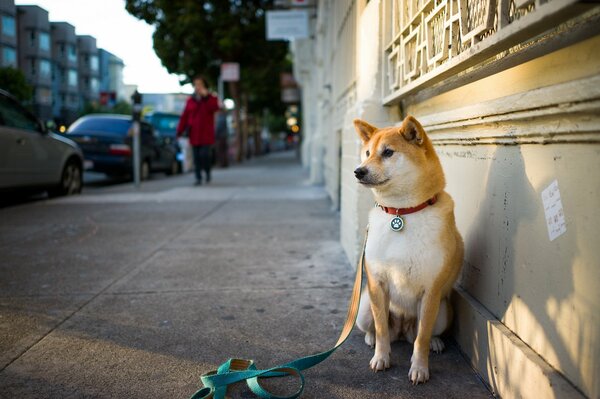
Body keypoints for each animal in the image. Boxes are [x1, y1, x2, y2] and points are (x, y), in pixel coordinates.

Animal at [354, 117, 462, 386]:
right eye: (368, 153)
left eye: (388, 153)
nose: (358, 171)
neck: (401, 213)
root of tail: (403, 330)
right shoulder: (377, 284)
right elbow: (382, 328)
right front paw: (381, 357)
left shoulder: (431, 292)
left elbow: (421, 337)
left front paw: (420, 368)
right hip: (363, 308)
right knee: (376, 327)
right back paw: (370, 338)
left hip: (443, 310)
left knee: (422, 334)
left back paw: (436, 342)